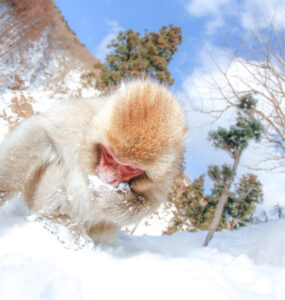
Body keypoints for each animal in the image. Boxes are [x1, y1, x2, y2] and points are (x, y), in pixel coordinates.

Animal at [0, 79, 186, 244]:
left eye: (129, 168)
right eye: (109, 155)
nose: (110, 178)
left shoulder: (164, 178)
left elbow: (147, 203)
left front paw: (110, 197)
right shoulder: (81, 122)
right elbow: (43, 131)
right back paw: (54, 219)